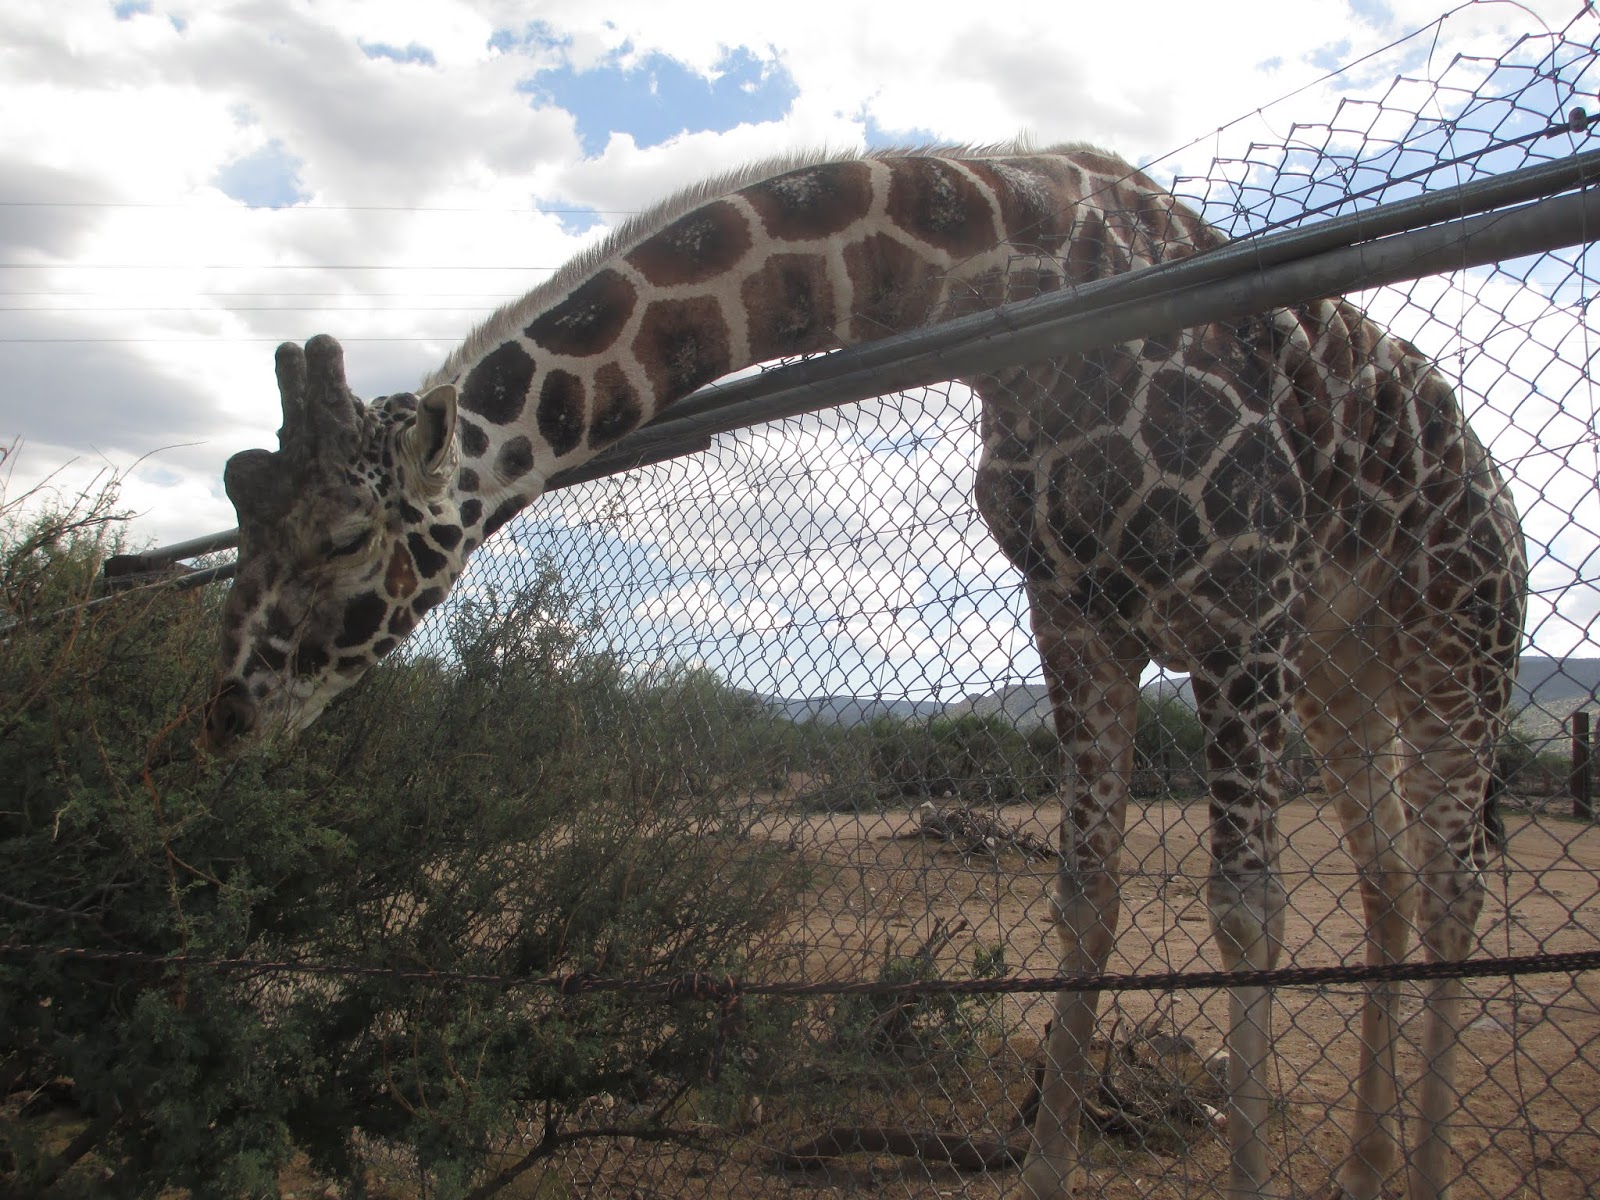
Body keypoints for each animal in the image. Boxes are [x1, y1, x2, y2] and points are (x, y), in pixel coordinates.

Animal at [205, 144, 1527, 1200]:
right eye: (239, 510)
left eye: (340, 538)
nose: (224, 715)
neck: (1018, 283)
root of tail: (1488, 482)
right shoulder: (1078, 621)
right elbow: (1084, 899)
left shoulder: (1238, 595)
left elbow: (1246, 911)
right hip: (1342, 671)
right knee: (1388, 877)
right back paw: (1368, 1166)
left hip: (1453, 645)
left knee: (1452, 882)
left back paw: (1416, 1170)